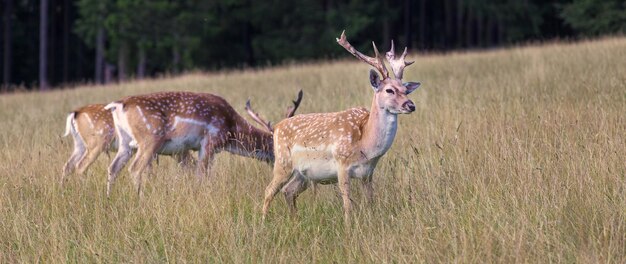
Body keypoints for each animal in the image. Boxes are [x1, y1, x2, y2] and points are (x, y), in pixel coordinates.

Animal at [103, 91, 302, 196]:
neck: (231, 129)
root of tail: (117, 105)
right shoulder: (210, 142)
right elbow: (202, 175)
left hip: (125, 143)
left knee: (113, 167)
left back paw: (109, 199)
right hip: (149, 139)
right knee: (135, 168)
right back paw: (140, 199)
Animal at [258, 32, 420, 224]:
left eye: (405, 90)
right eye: (389, 90)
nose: (410, 105)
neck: (365, 144)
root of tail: (276, 127)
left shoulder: (368, 173)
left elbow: (370, 202)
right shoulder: (342, 164)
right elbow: (347, 205)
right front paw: (349, 226)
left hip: (302, 174)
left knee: (288, 191)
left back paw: (295, 222)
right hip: (283, 162)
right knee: (269, 190)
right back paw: (262, 222)